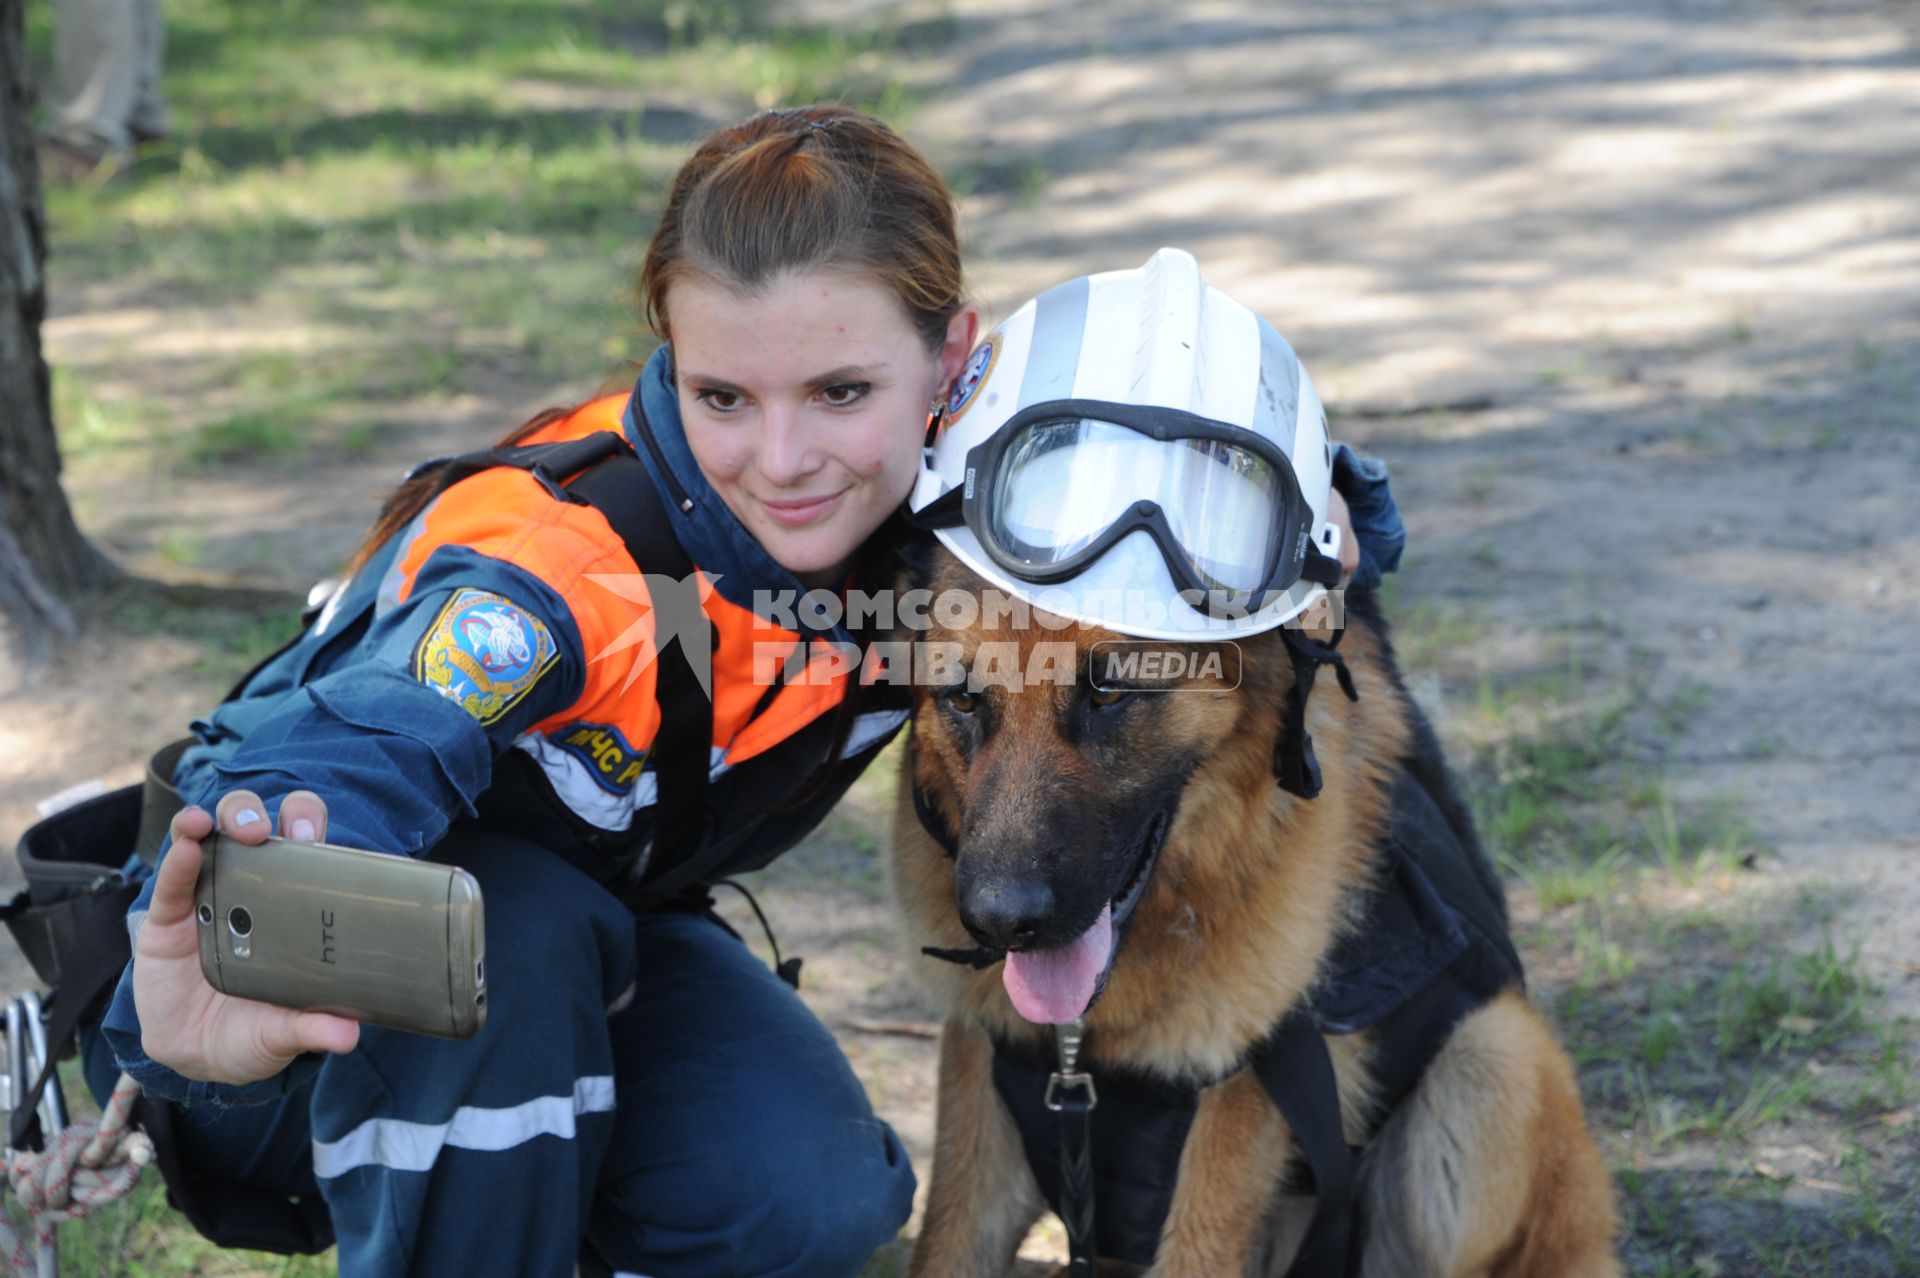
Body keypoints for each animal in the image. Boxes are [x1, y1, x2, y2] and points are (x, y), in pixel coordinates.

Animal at [887, 541, 1620, 1266]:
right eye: (963, 699)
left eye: (1110, 691)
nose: (1000, 920)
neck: (1084, 1050)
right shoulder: (980, 1085)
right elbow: (945, 1245)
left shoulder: (1232, 1112)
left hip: (1490, 1058)